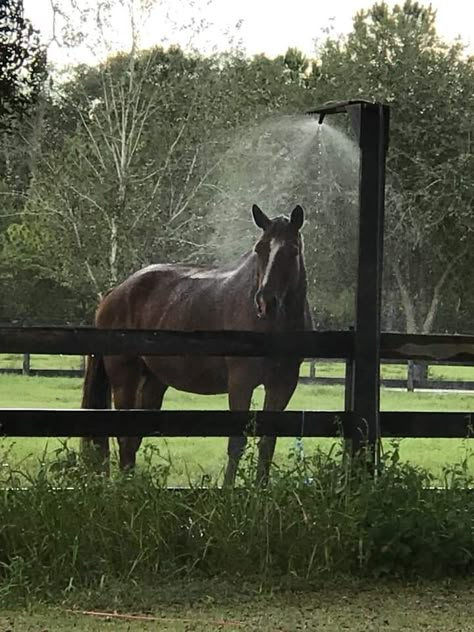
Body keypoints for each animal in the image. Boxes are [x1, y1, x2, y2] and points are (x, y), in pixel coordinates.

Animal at [81, 202, 312, 484]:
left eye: (292, 250)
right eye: (260, 249)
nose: (265, 302)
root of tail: (114, 294)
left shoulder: (283, 385)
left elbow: (267, 443)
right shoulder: (241, 382)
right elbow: (237, 443)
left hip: (153, 382)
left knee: (133, 439)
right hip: (125, 378)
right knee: (125, 439)